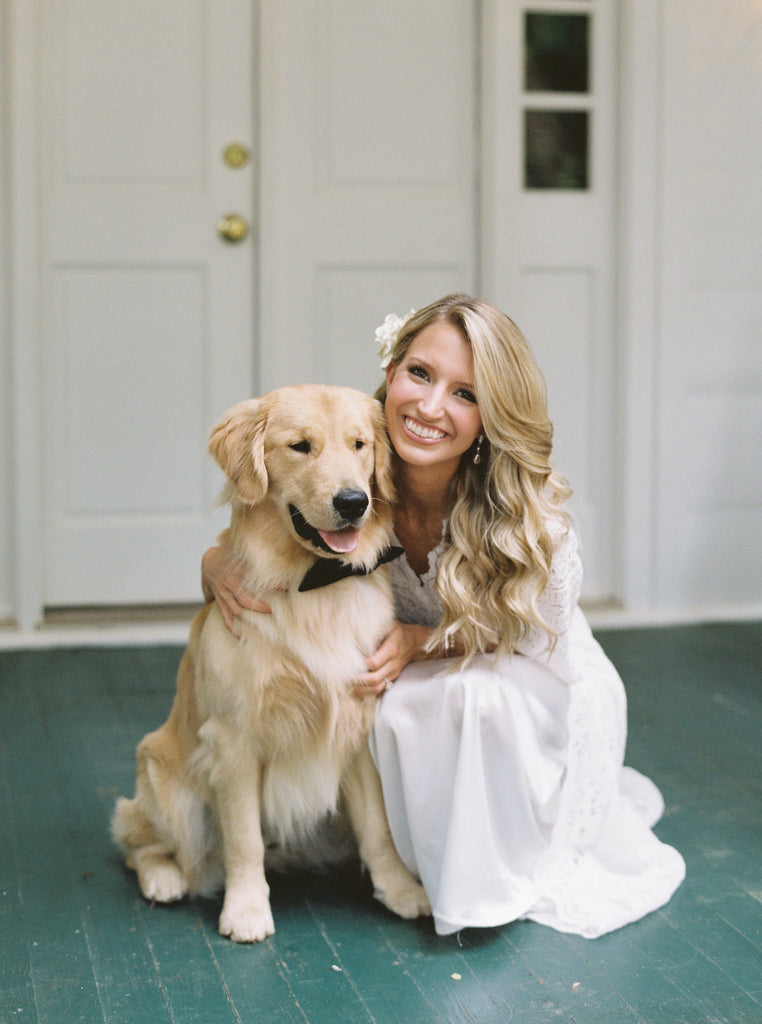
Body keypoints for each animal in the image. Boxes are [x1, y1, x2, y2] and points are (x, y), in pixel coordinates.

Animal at [113, 385, 434, 942]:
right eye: (300, 446)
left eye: (359, 445)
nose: (354, 501)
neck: (313, 583)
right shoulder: (234, 740)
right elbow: (244, 839)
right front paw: (245, 911)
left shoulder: (357, 730)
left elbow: (378, 828)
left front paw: (399, 890)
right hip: (167, 788)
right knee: (142, 843)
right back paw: (164, 879)